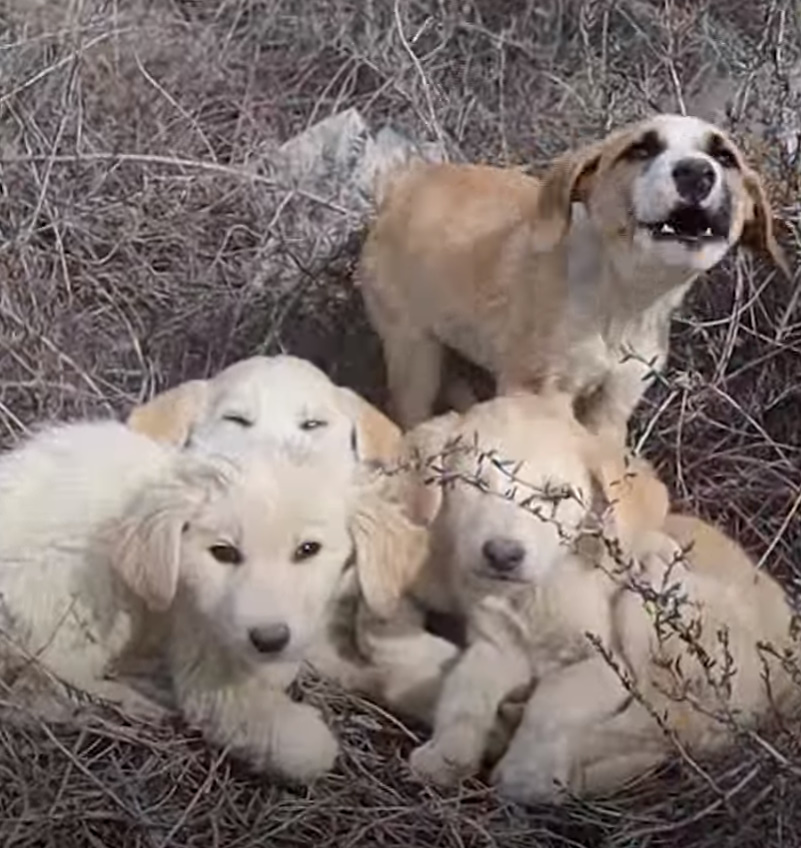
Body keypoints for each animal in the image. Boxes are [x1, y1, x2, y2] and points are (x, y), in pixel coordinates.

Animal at [0, 420, 428, 784]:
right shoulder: (206, 663)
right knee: (41, 686)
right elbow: (305, 747)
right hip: (84, 584)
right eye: (223, 552)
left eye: (308, 549)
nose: (269, 639)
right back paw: (136, 696)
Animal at [358, 113, 788, 438]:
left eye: (725, 157)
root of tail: (400, 187)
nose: (697, 172)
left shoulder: (614, 406)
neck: (624, 299)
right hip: (414, 353)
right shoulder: (542, 392)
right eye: (641, 149)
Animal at [404, 394, 796, 800]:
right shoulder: (497, 646)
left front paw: (526, 769)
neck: (538, 592)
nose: (502, 555)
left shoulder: (609, 665)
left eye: (555, 495)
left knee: (668, 725)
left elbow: (553, 697)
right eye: (473, 484)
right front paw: (446, 754)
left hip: (652, 606)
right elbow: (465, 689)